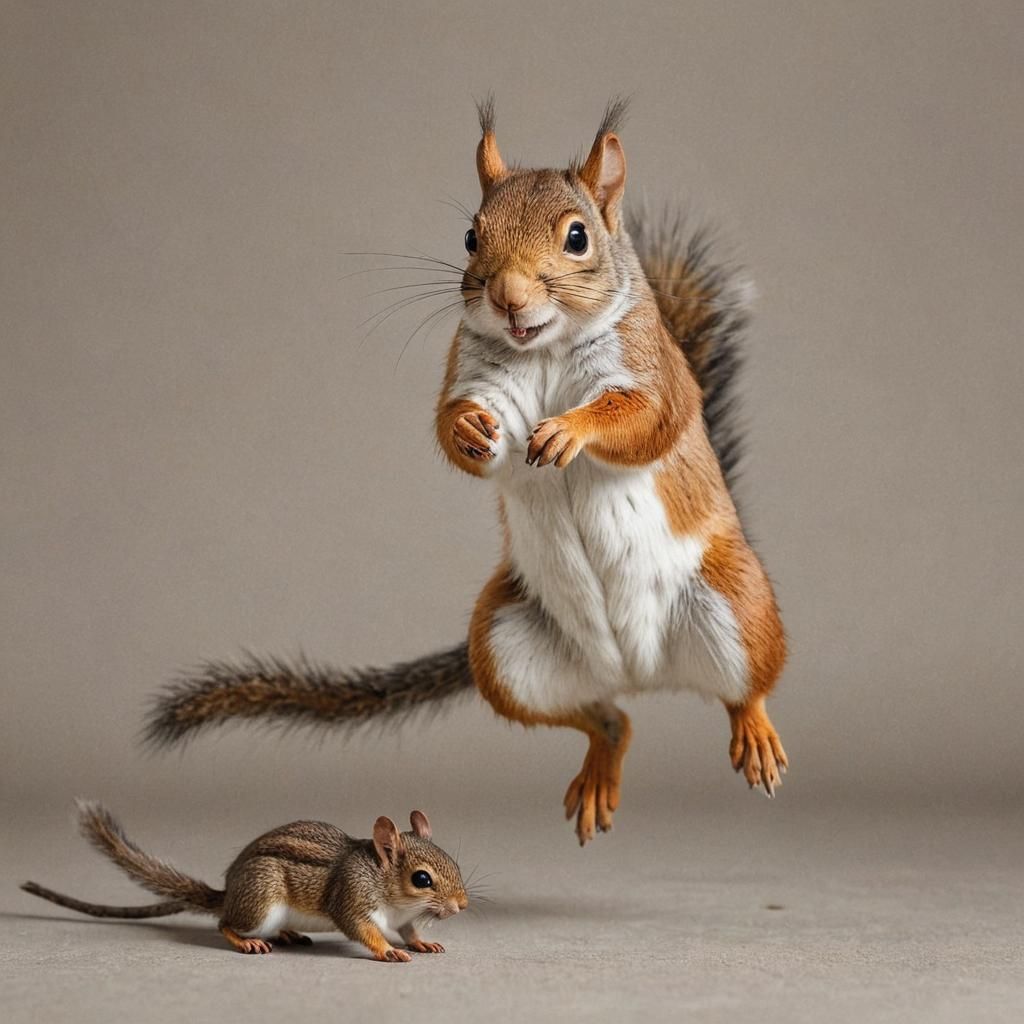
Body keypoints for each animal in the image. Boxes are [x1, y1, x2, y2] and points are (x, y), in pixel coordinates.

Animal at [21, 801, 467, 961]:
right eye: (421, 879)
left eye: (454, 863)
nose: (462, 906)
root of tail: (229, 893)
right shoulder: (353, 899)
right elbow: (364, 931)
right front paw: (388, 950)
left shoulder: (404, 919)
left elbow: (410, 931)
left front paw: (423, 942)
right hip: (260, 901)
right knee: (224, 923)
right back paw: (247, 941)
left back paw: (288, 934)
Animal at [144, 98, 789, 846]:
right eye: (470, 236)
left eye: (577, 238)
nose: (507, 296)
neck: (544, 348)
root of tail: (638, 670)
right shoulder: (477, 372)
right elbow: (460, 424)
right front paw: (467, 429)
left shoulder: (652, 372)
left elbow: (643, 416)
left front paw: (571, 429)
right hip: (502, 651)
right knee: (604, 718)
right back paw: (602, 760)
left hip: (739, 606)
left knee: (746, 688)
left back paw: (755, 732)